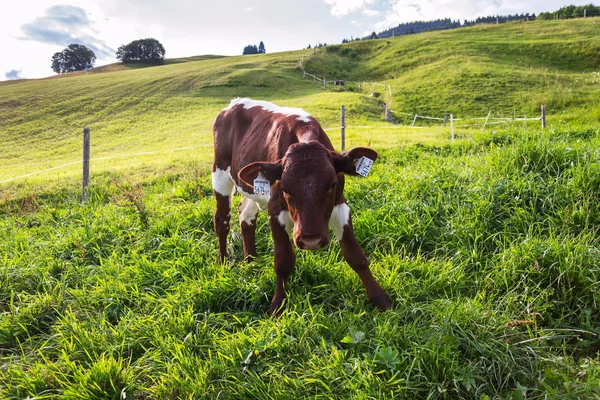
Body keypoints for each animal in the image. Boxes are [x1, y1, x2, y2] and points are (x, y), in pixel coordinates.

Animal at [213, 97, 392, 316]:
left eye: (332, 184)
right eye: (285, 188)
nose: (311, 239)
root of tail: (234, 102)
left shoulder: (340, 204)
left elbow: (355, 254)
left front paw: (381, 300)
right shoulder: (275, 208)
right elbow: (283, 261)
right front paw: (278, 305)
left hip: (249, 186)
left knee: (246, 216)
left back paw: (251, 261)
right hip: (220, 173)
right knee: (222, 219)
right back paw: (223, 262)